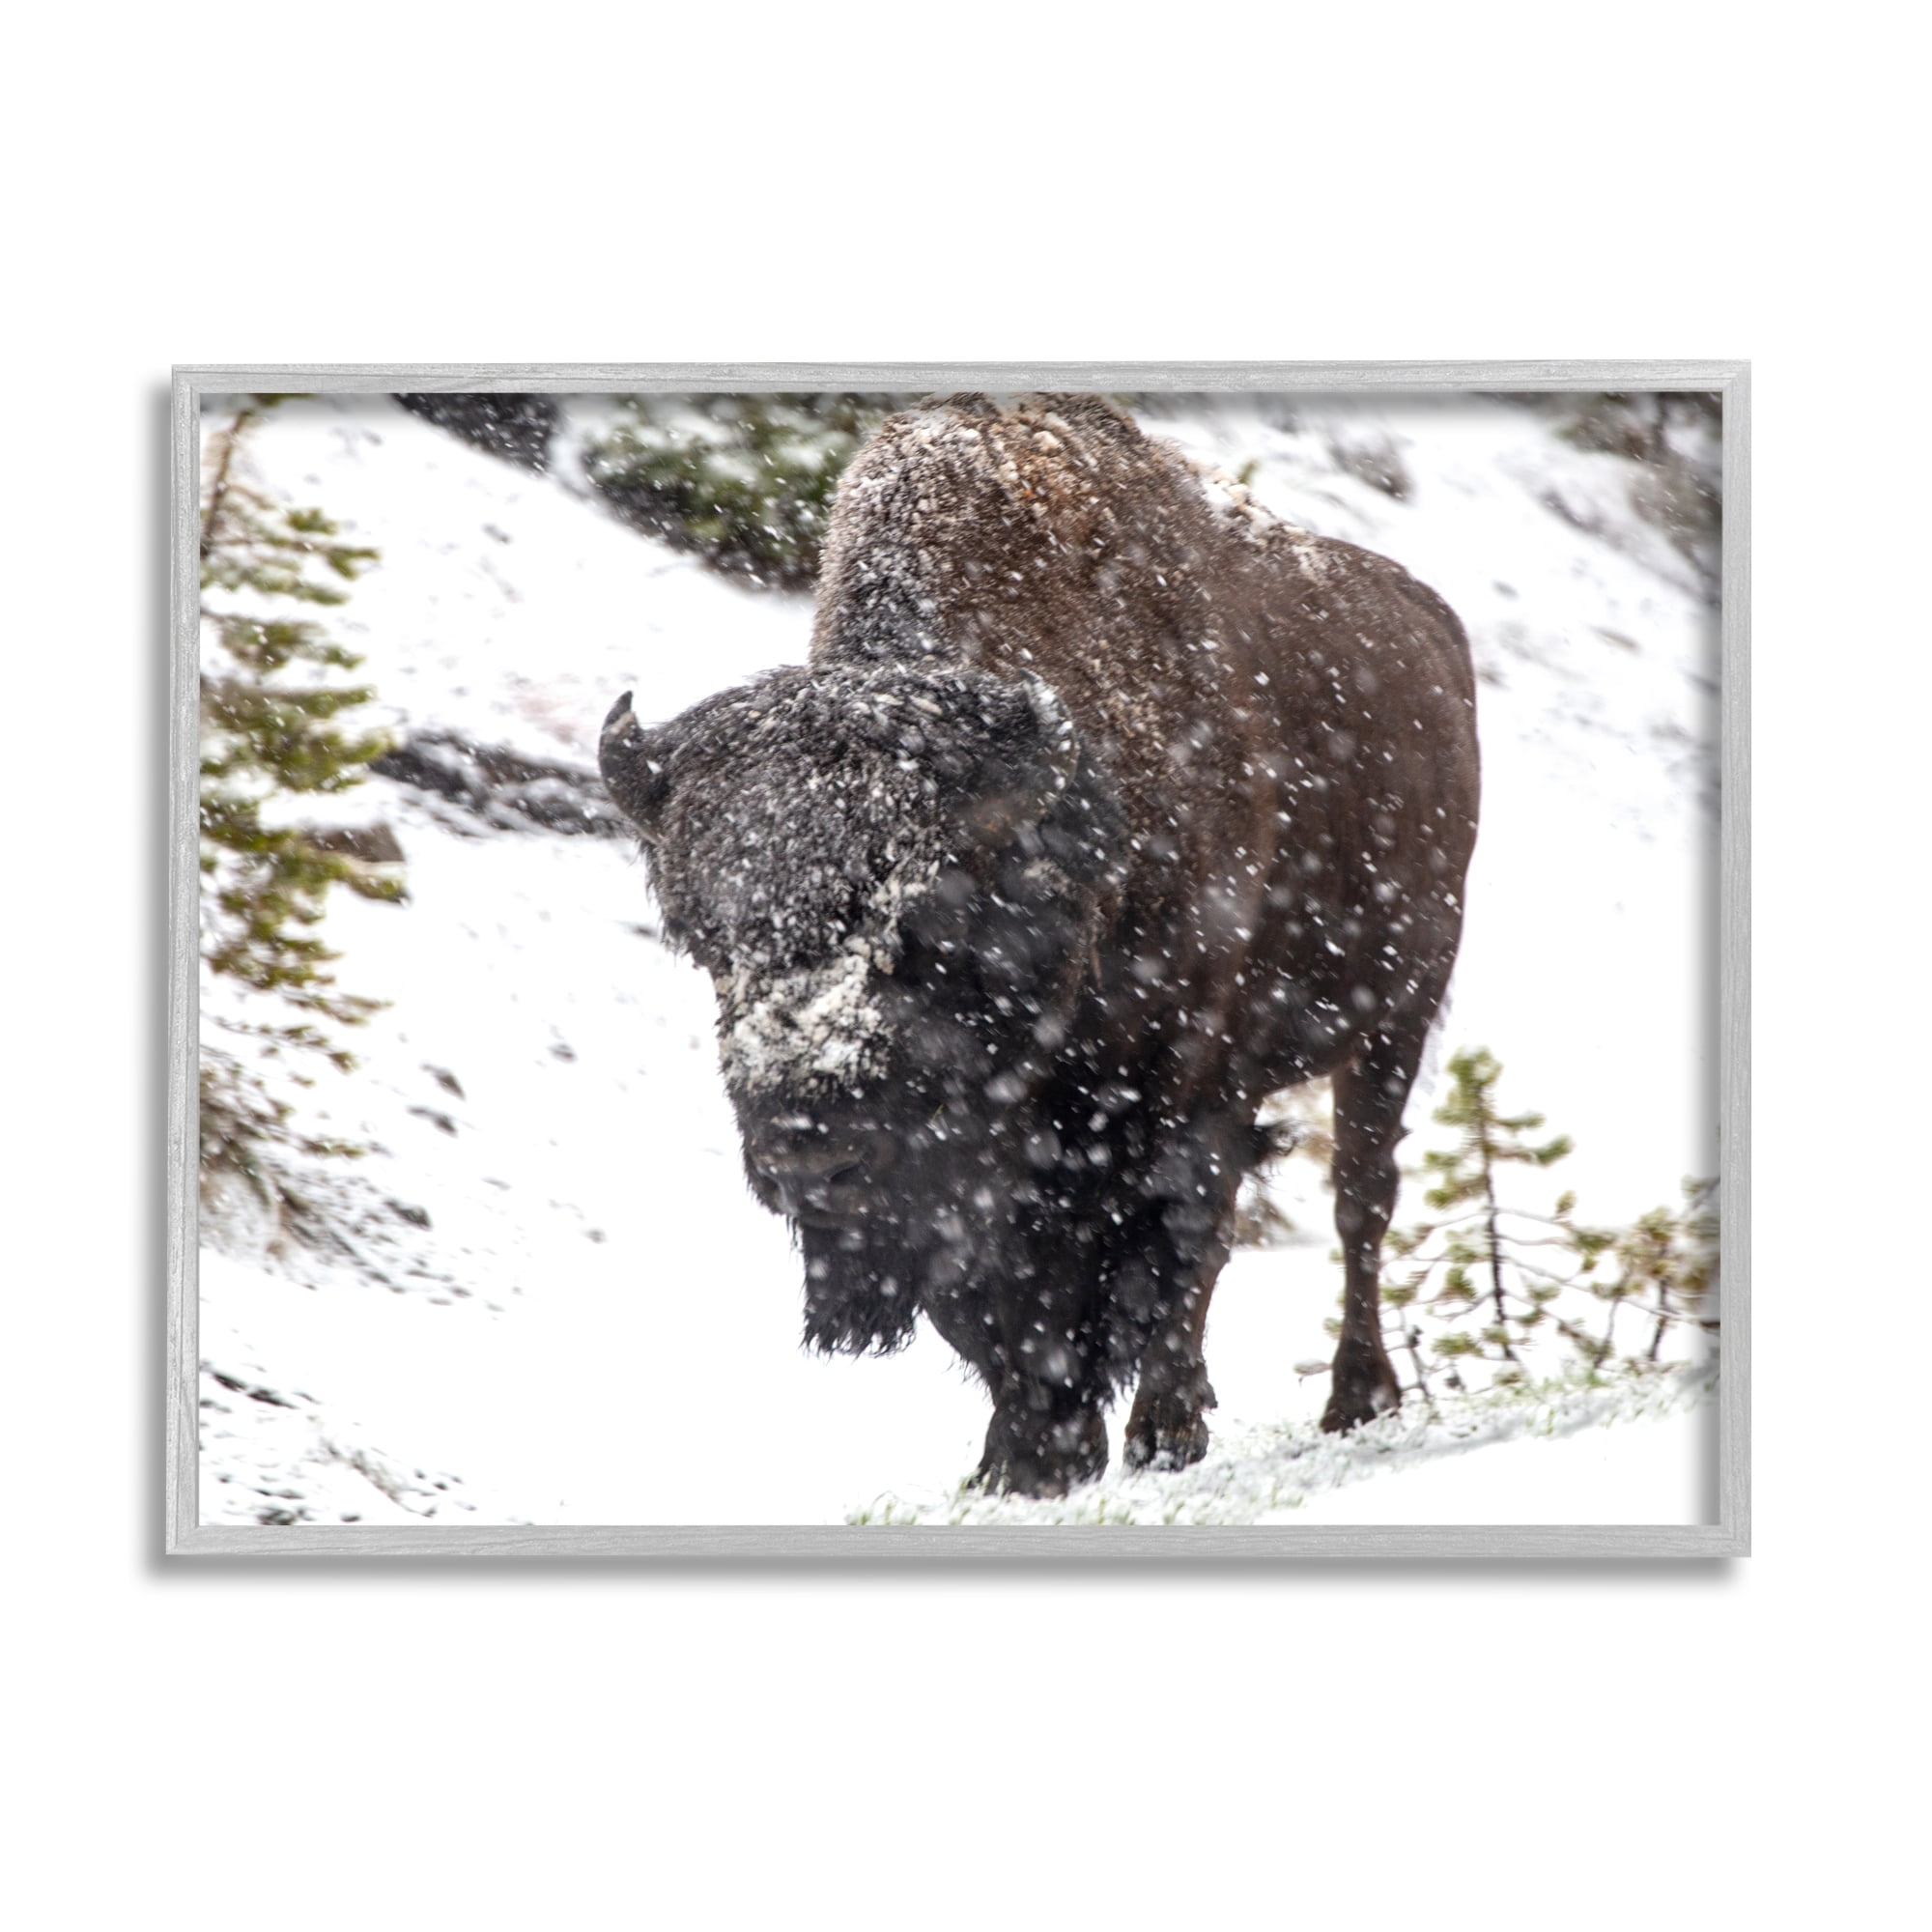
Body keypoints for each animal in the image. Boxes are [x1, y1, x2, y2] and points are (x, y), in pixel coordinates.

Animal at [599, 393, 1479, 1497]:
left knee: (1354, 1202)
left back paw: (1343, 1402)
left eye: (923, 926)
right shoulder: (978, 1170)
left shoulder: (1180, 1092)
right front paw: (1020, 1458)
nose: (810, 1154)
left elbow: (1166, 1244)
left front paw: (1142, 1437)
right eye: (702, 940)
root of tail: (1432, 628)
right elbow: (990, 1302)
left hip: (1394, 1018)